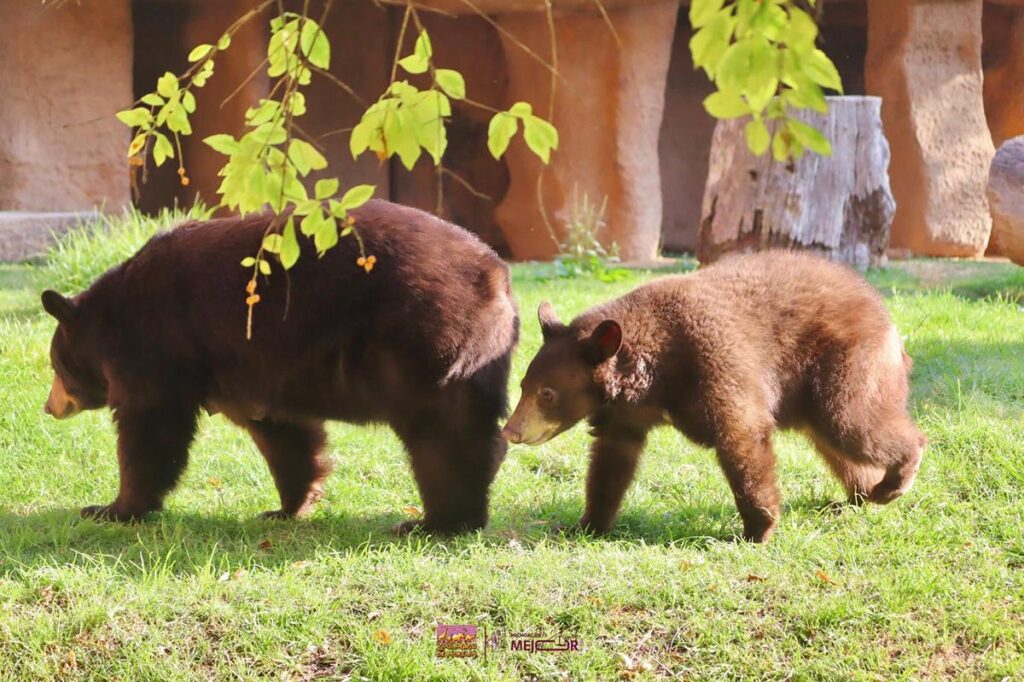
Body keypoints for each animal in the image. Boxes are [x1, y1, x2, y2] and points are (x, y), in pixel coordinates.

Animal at [40, 197, 520, 532]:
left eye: (55, 366)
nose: (49, 406)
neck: (110, 317)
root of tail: (494, 272)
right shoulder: (260, 370)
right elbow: (285, 434)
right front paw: (287, 506)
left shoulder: (157, 346)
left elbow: (151, 426)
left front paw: (112, 507)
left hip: (422, 339)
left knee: (441, 431)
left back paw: (437, 520)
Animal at [503, 249, 929, 540]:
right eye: (522, 385)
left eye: (547, 394)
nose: (510, 430)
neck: (652, 368)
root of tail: (887, 319)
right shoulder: (626, 412)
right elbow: (612, 459)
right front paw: (586, 524)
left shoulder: (715, 360)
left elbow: (741, 433)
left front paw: (759, 529)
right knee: (837, 443)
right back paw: (863, 493)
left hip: (846, 364)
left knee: (855, 422)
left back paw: (894, 481)